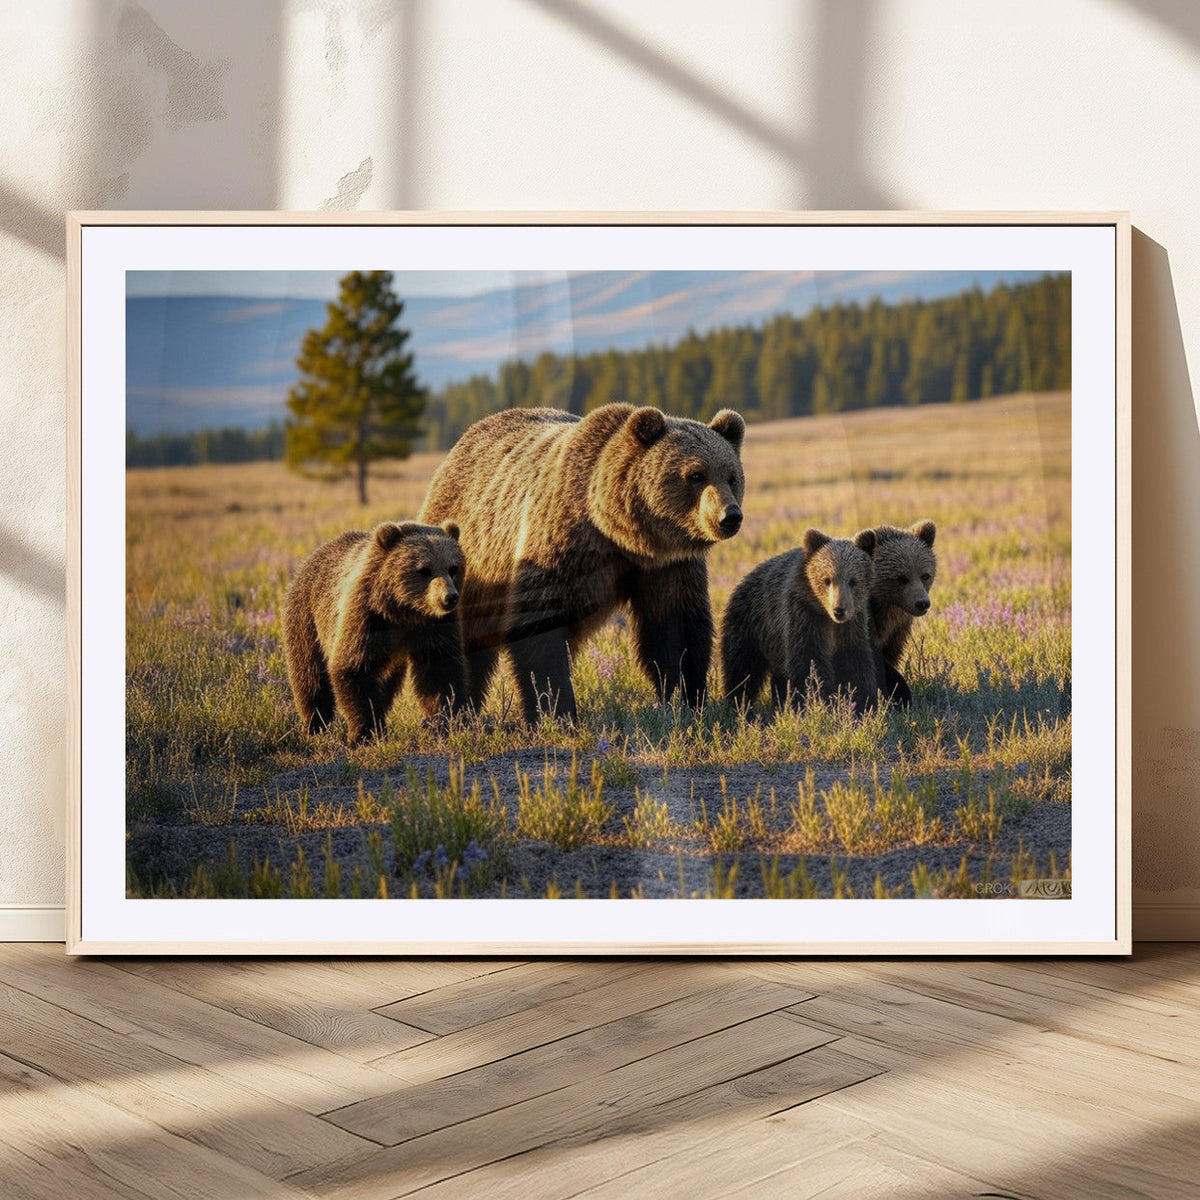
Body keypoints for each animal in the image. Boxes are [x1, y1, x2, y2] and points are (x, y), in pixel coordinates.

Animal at [282, 521, 466, 745]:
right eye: (424, 570)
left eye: (453, 568)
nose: (449, 597)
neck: (404, 612)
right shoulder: (366, 616)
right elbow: (353, 667)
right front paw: (364, 732)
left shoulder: (435, 626)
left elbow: (440, 669)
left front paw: (447, 718)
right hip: (307, 619)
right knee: (309, 675)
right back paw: (315, 725)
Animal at [418, 403, 746, 723]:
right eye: (696, 475)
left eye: (732, 476)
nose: (730, 516)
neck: (618, 533)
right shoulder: (558, 545)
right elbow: (540, 629)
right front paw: (554, 710)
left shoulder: (666, 566)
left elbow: (674, 629)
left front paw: (687, 701)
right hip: (462, 566)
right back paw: (450, 711)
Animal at [720, 527, 878, 712]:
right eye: (827, 579)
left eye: (853, 581)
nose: (839, 610)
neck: (826, 617)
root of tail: (744, 578)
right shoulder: (803, 617)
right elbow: (809, 663)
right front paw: (817, 701)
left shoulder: (852, 627)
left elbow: (855, 664)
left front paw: (864, 702)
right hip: (751, 624)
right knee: (742, 666)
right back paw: (739, 702)